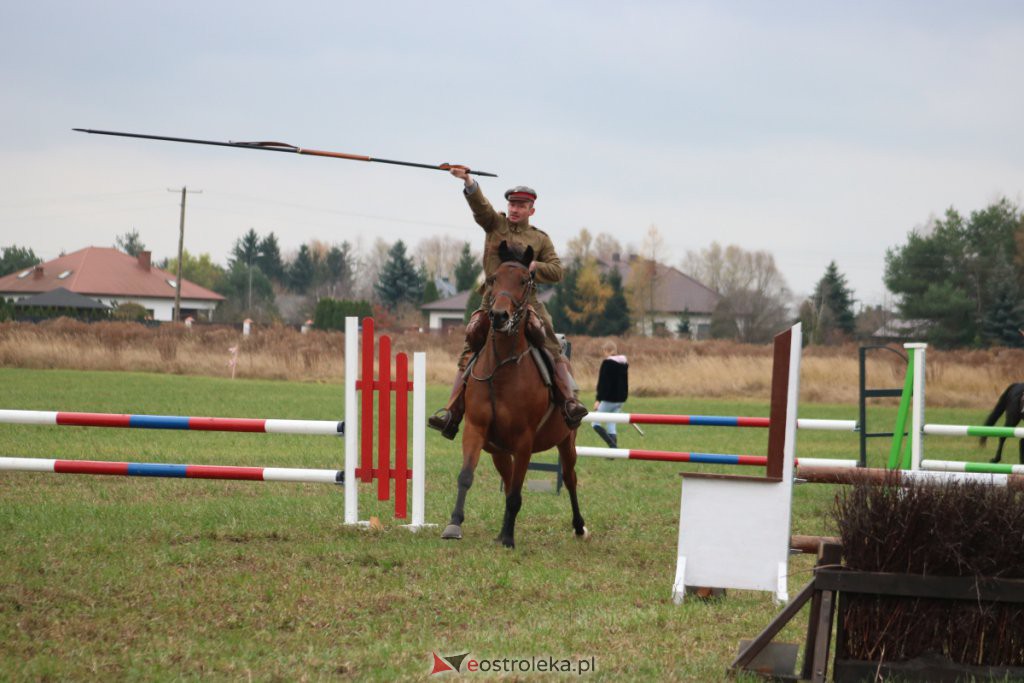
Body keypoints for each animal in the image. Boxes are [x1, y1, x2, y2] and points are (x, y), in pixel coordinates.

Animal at [438, 242, 589, 548]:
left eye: (523, 280)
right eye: (494, 279)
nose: (498, 316)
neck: (502, 370)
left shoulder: (524, 442)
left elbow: (517, 492)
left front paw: (509, 537)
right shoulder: (476, 431)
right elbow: (467, 476)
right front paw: (454, 524)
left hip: (566, 443)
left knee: (570, 479)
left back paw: (579, 526)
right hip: (499, 451)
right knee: (508, 481)